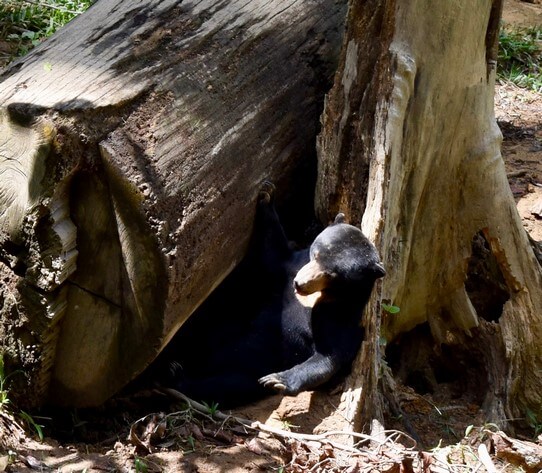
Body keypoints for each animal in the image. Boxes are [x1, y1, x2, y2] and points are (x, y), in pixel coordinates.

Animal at [163, 182, 386, 406]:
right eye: (316, 254)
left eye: (332, 274)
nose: (300, 283)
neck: (314, 297)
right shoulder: (290, 267)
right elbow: (273, 253)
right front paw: (266, 195)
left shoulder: (341, 313)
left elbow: (328, 355)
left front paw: (276, 381)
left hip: (246, 370)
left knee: (224, 385)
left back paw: (176, 376)